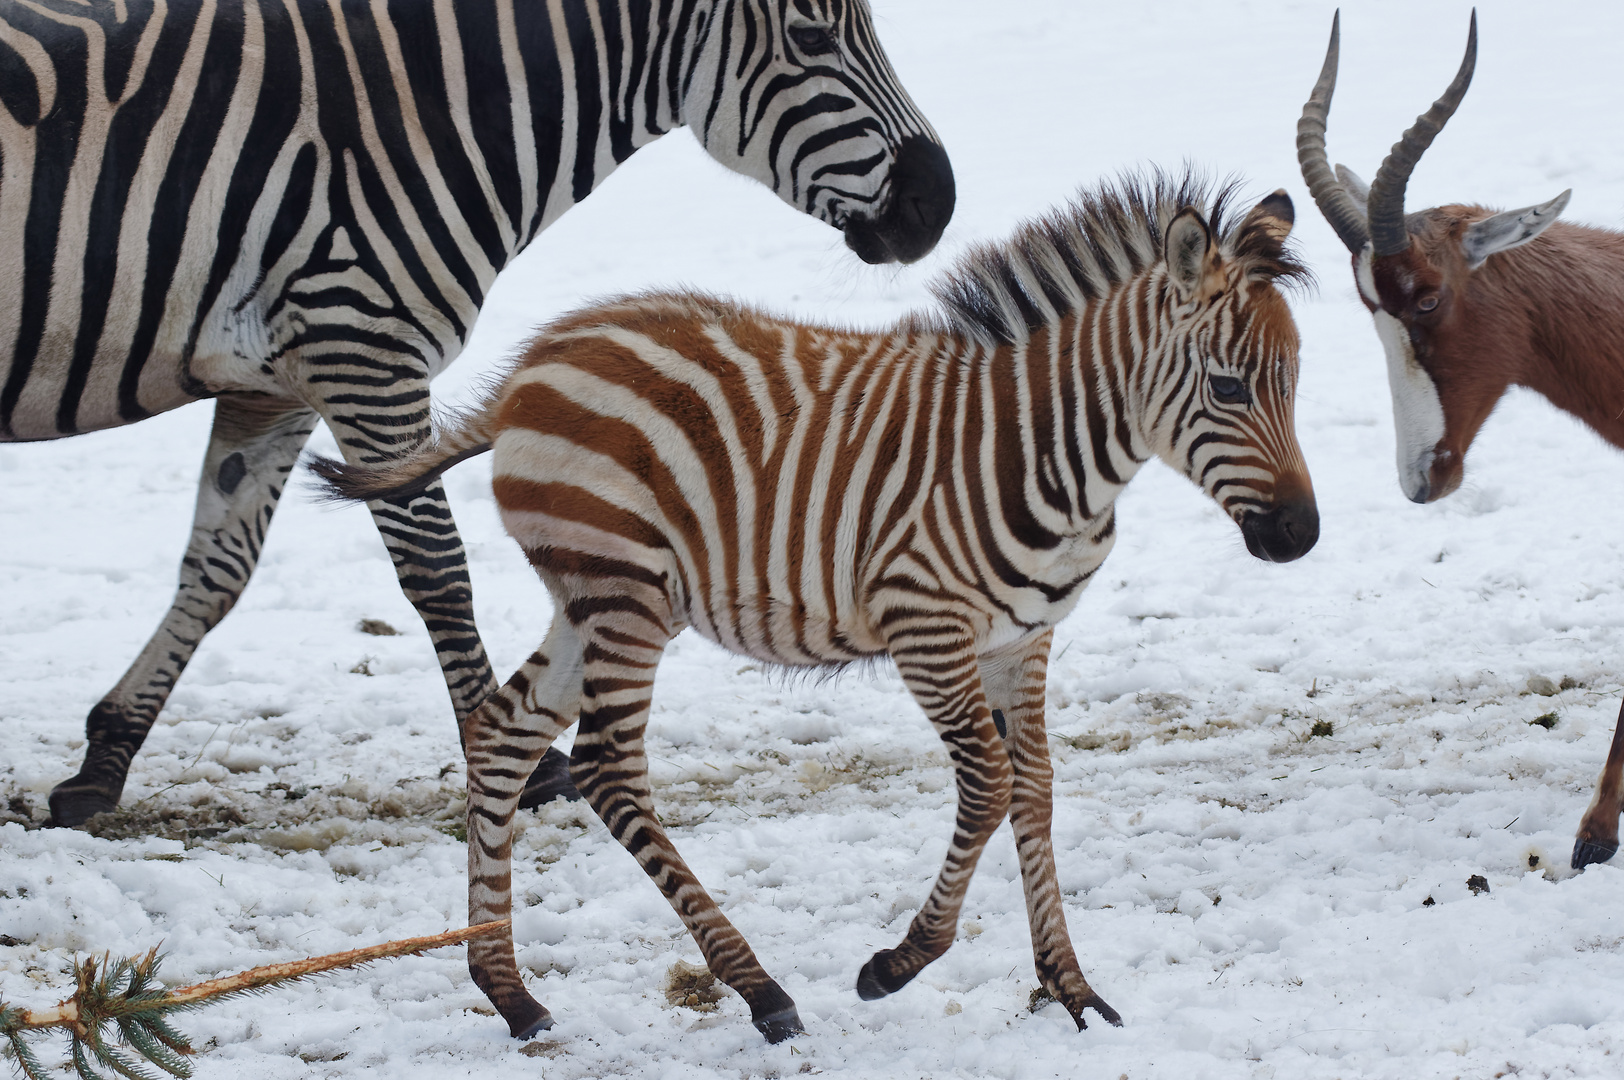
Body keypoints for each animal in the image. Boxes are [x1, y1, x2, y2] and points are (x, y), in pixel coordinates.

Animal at [316, 172, 1318, 1039]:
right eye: (1229, 387)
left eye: (1297, 380)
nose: (1301, 536)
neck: (1048, 455)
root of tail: (530, 369)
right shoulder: (928, 630)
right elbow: (990, 787)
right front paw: (898, 964)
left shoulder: (1021, 640)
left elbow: (1034, 791)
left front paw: (1068, 986)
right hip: (626, 594)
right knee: (606, 768)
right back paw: (760, 989)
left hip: (591, 601)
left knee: (501, 733)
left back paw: (510, 992)